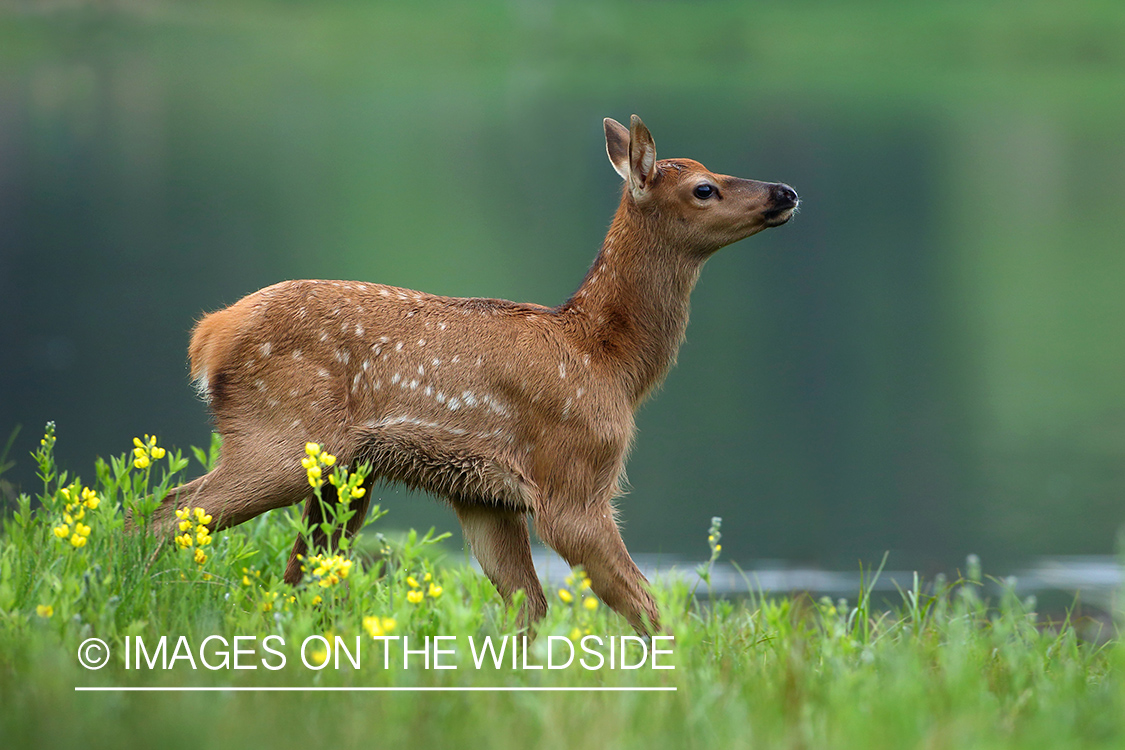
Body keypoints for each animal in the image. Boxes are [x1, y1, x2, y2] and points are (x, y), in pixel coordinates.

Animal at [164, 115, 801, 634]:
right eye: (703, 188)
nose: (786, 191)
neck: (610, 361)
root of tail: (209, 335)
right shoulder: (575, 479)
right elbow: (646, 607)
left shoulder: (485, 496)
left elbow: (528, 608)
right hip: (279, 437)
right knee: (167, 512)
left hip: (342, 476)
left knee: (298, 572)